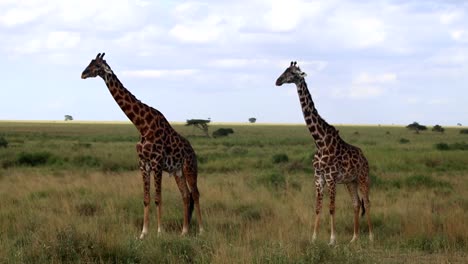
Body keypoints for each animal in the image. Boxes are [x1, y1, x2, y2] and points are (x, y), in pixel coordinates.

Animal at [82, 52, 203, 238]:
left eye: (96, 66)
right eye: (90, 62)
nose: (83, 73)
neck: (142, 126)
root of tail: (193, 151)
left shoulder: (157, 162)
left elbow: (158, 198)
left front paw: (160, 232)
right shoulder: (143, 163)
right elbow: (146, 199)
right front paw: (143, 233)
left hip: (189, 167)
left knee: (195, 194)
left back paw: (202, 230)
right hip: (178, 171)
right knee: (185, 195)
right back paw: (184, 231)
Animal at [278, 60, 372, 244]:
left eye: (292, 73)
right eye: (284, 70)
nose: (277, 81)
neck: (319, 141)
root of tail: (365, 158)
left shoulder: (331, 178)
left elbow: (331, 208)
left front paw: (332, 240)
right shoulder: (318, 178)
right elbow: (317, 207)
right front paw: (313, 238)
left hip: (363, 177)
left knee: (368, 201)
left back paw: (371, 237)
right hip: (351, 181)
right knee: (356, 203)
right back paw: (354, 238)